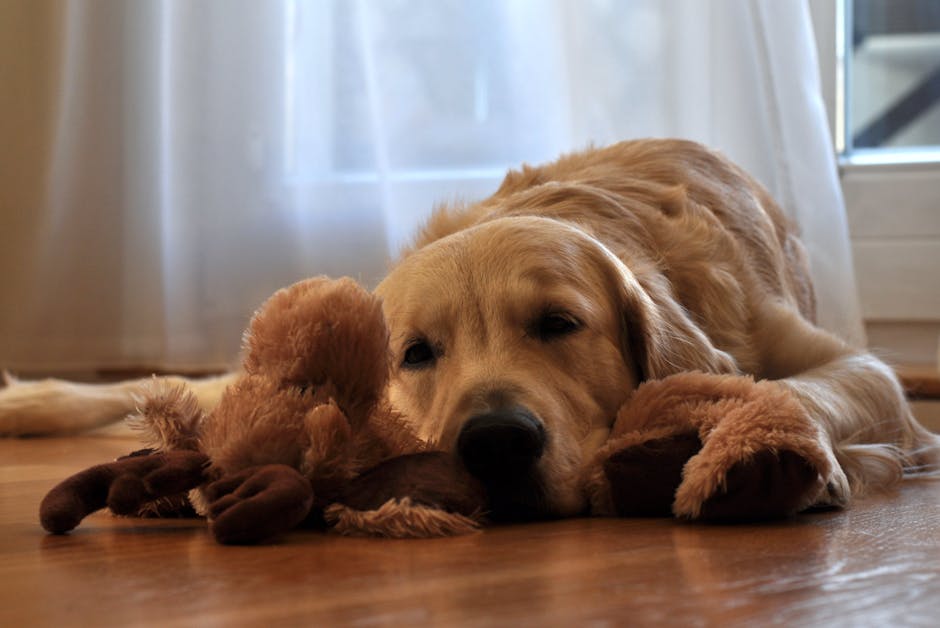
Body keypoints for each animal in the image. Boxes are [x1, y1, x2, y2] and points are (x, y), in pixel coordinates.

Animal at [1, 141, 940, 520]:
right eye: (416, 353)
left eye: (559, 324)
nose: (493, 443)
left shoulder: (853, 366)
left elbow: (808, 387)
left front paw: (767, 454)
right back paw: (29, 401)